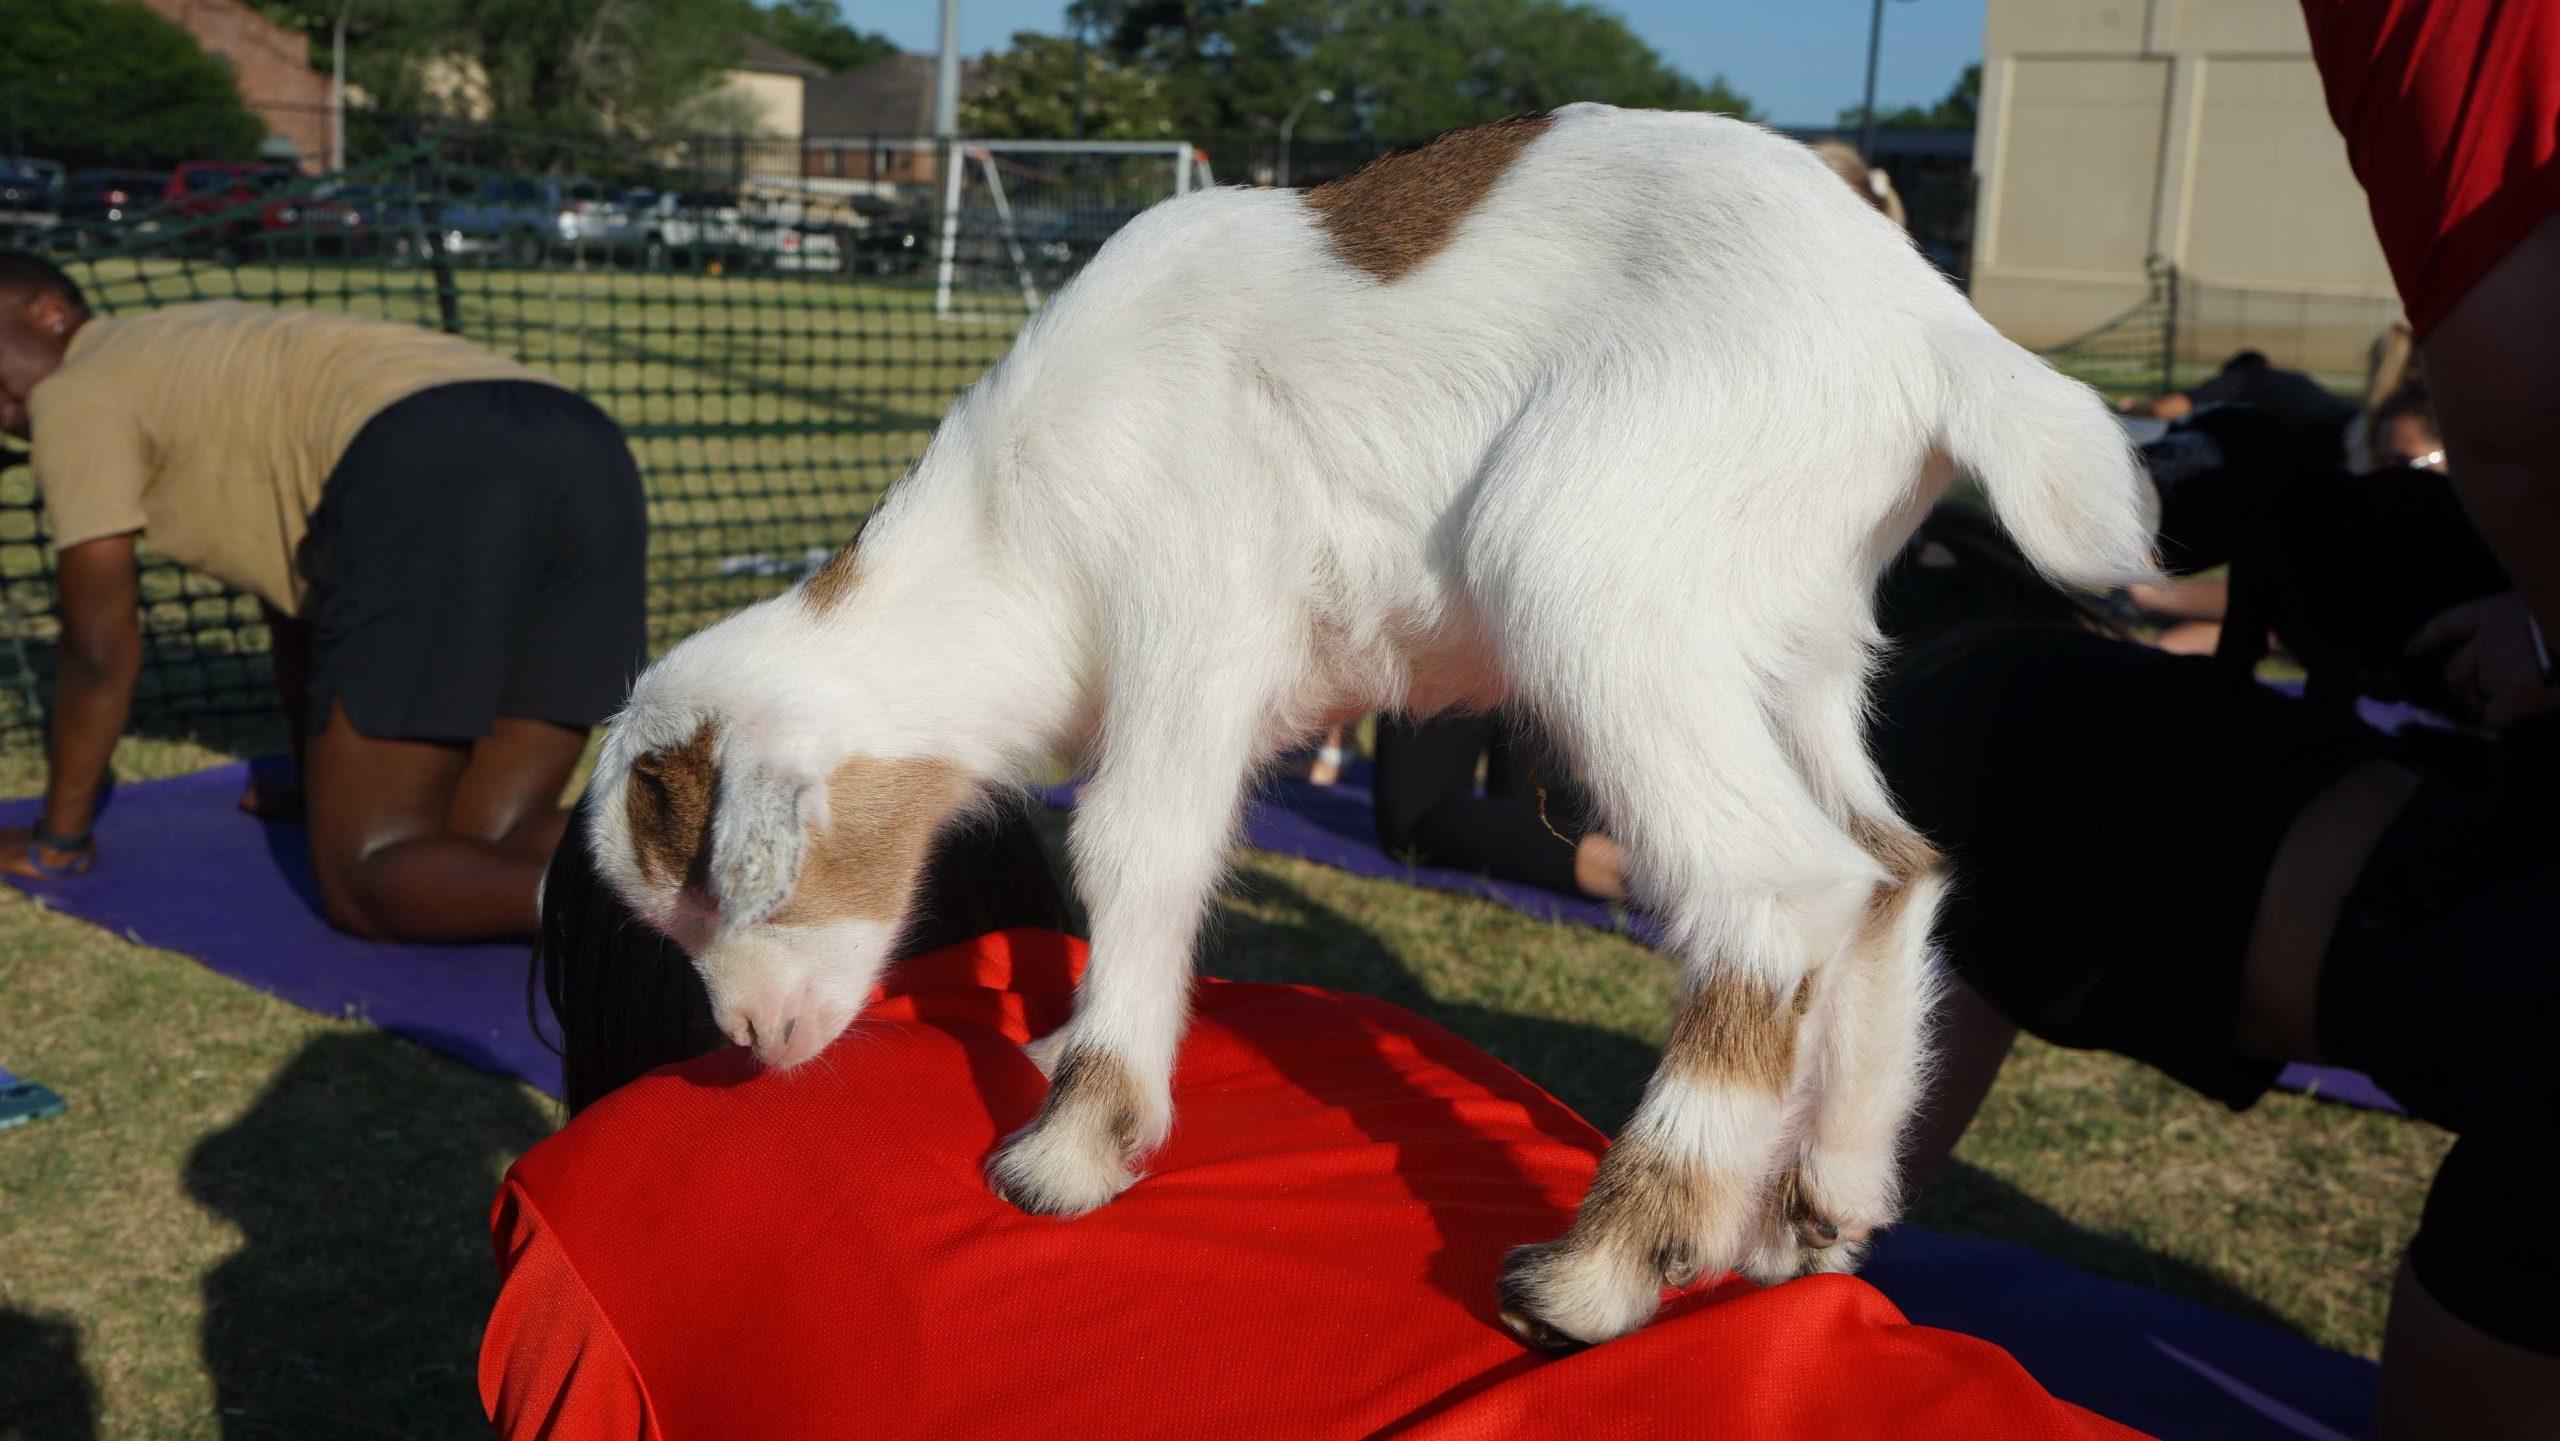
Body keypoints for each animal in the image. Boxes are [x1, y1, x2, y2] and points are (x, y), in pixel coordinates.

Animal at [586, 104, 2160, 1351]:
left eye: (714, 887)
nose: (748, 1036)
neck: (1011, 534)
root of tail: (1939, 334)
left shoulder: (1192, 607)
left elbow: (1136, 847)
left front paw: (1076, 1144)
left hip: (1592, 562)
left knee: (1783, 887)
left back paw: (1600, 1272)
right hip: (1792, 636)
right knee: (1891, 867)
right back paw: (1820, 1202)